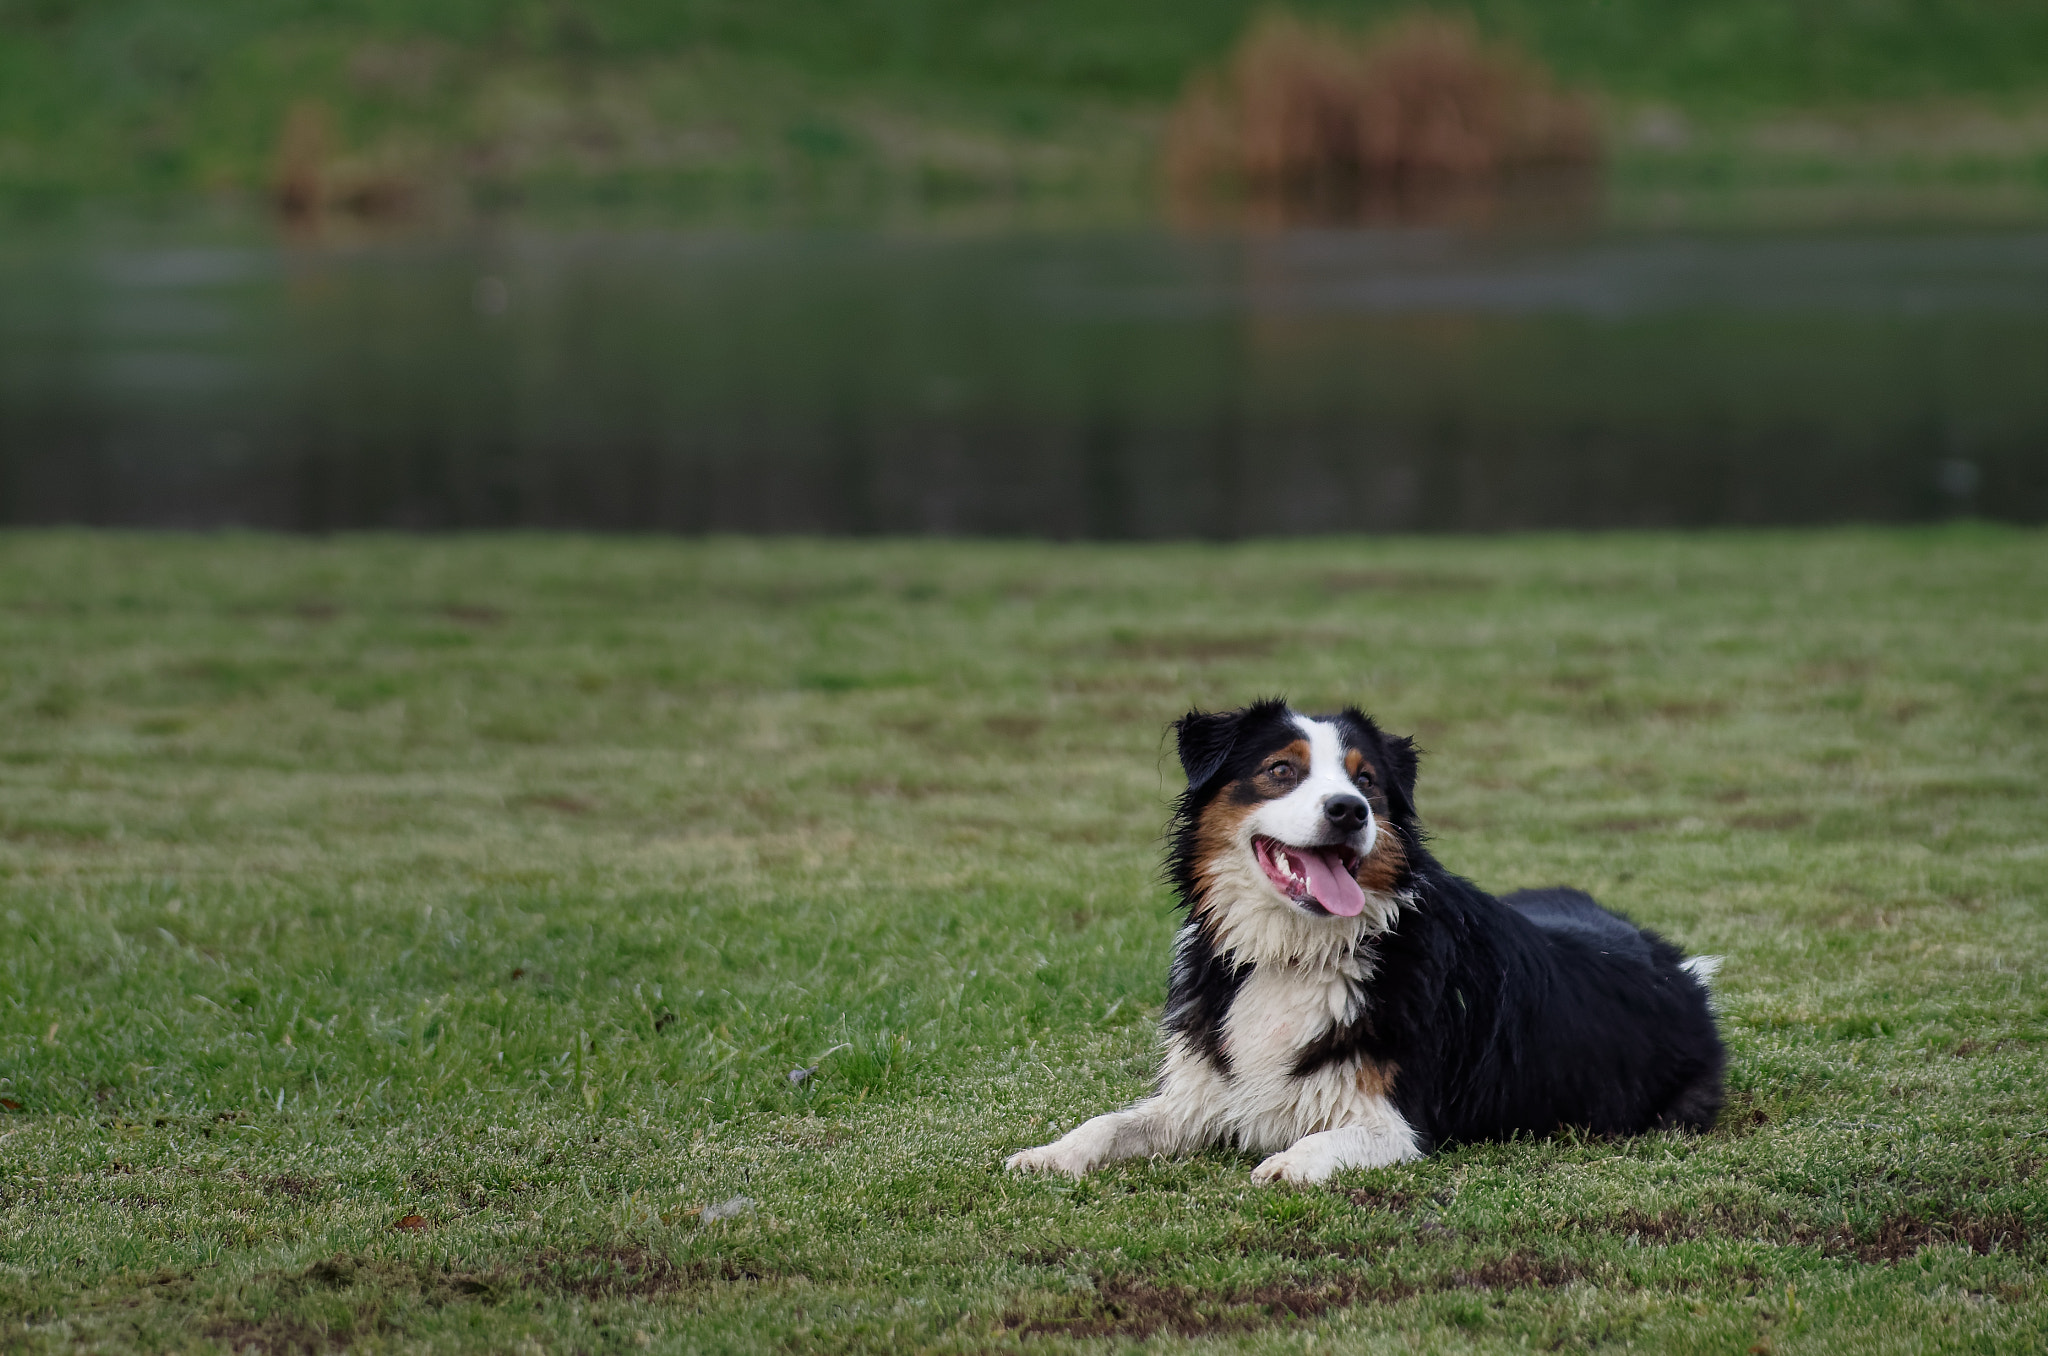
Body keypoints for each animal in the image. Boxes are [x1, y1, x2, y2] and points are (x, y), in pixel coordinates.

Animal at [1007, 704, 1728, 1188]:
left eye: (1368, 781)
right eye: (1281, 770)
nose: (1349, 810)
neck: (1296, 953)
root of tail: (1679, 967)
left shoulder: (1398, 1121)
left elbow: (1326, 1142)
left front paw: (1285, 1165)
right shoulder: (1204, 1092)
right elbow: (1110, 1124)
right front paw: (1047, 1155)